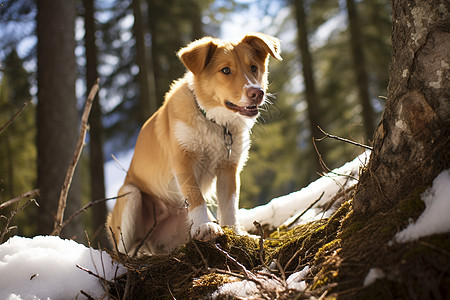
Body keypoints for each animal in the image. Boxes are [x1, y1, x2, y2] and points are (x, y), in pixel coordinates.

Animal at [108, 32, 282, 254]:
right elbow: (196, 196)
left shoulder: (228, 167)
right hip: (130, 194)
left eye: (253, 67)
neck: (215, 122)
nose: (257, 93)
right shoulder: (183, 160)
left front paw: (236, 233)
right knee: (121, 251)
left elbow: (229, 205)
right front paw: (204, 226)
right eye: (225, 70)